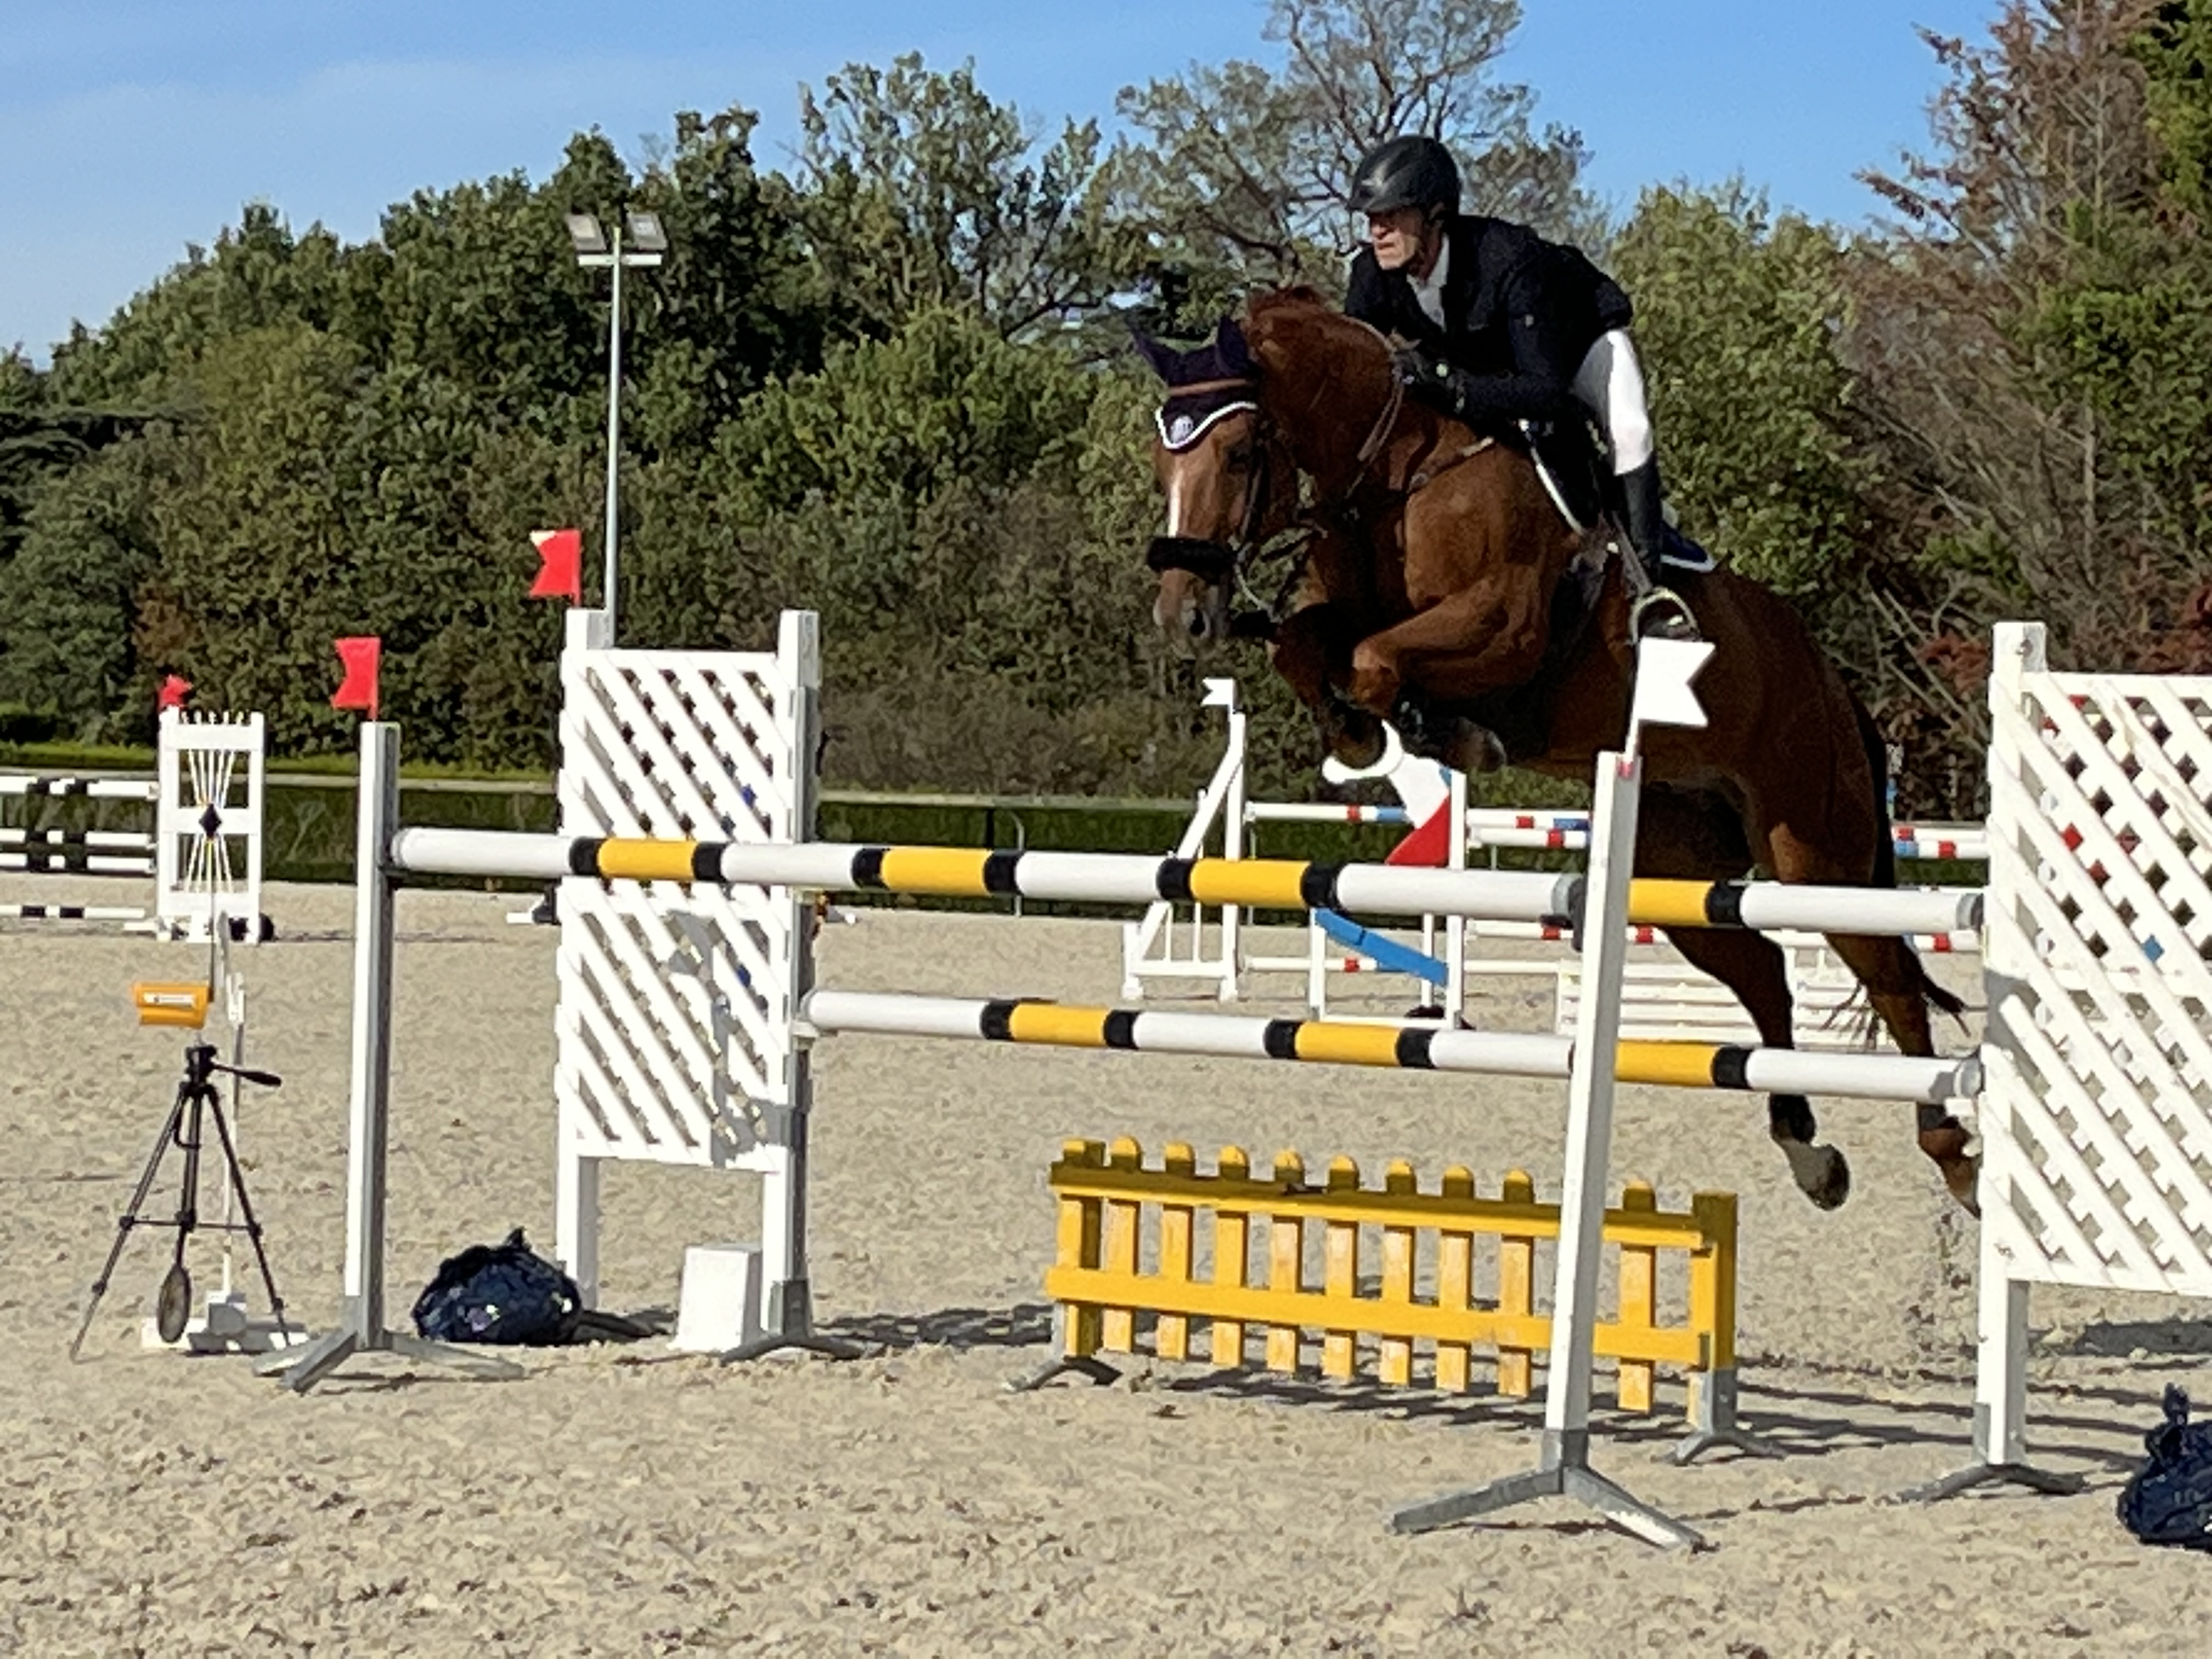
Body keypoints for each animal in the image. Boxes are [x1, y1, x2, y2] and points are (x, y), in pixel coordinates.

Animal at [1132, 287, 1978, 1214]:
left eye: (1243, 451)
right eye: (1162, 461)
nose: (1181, 613)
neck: (1395, 477)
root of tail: (1829, 679)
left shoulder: (1504, 625)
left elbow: (1374, 660)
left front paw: (1437, 728)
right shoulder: (1337, 603)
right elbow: (1306, 648)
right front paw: (1358, 728)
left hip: (1814, 848)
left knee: (1891, 979)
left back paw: (1956, 1159)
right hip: (1677, 862)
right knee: (1762, 972)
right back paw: (1809, 1152)